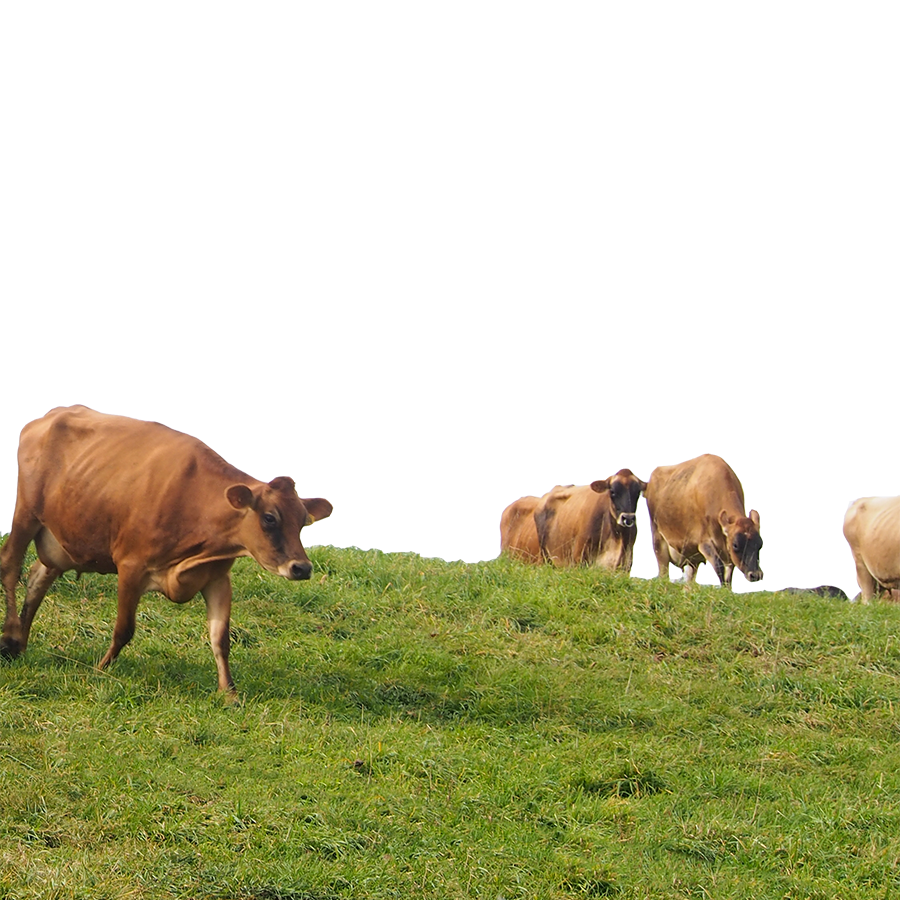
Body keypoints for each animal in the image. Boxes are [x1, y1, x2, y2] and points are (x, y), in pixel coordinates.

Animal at [0, 408, 334, 696]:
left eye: (303, 521)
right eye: (269, 518)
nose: (302, 568)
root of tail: (50, 417)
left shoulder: (217, 578)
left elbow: (220, 638)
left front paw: (229, 693)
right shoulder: (130, 566)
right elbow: (124, 629)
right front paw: (101, 669)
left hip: (64, 537)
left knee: (38, 578)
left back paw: (22, 643)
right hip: (26, 513)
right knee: (11, 566)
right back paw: (11, 638)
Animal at [644, 454, 764, 588]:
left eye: (760, 544)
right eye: (736, 545)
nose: (755, 575)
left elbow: (729, 572)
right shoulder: (704, 541)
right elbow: (719, 566)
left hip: (692, 557)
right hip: (659, 541)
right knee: (663, 573)